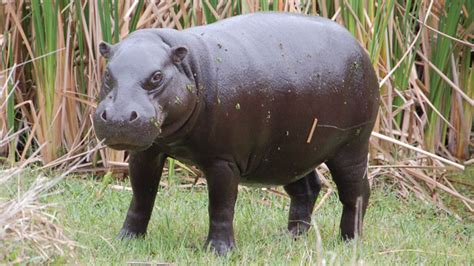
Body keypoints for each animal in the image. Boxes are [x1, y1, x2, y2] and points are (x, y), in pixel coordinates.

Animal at [94, 11, 380, 254]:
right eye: (107, 73)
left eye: (156, 77)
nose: (119, 117)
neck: (190, 68)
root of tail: (357, 45)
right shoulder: (147, 153)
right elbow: (141, 198)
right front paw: (126, 241)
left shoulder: (223, 160)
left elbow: (221, 205)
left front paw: (218, 251)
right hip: (288, 152)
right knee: (307, 189)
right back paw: (289, 238)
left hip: (351, 146)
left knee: (356, 191)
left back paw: (349, 242)